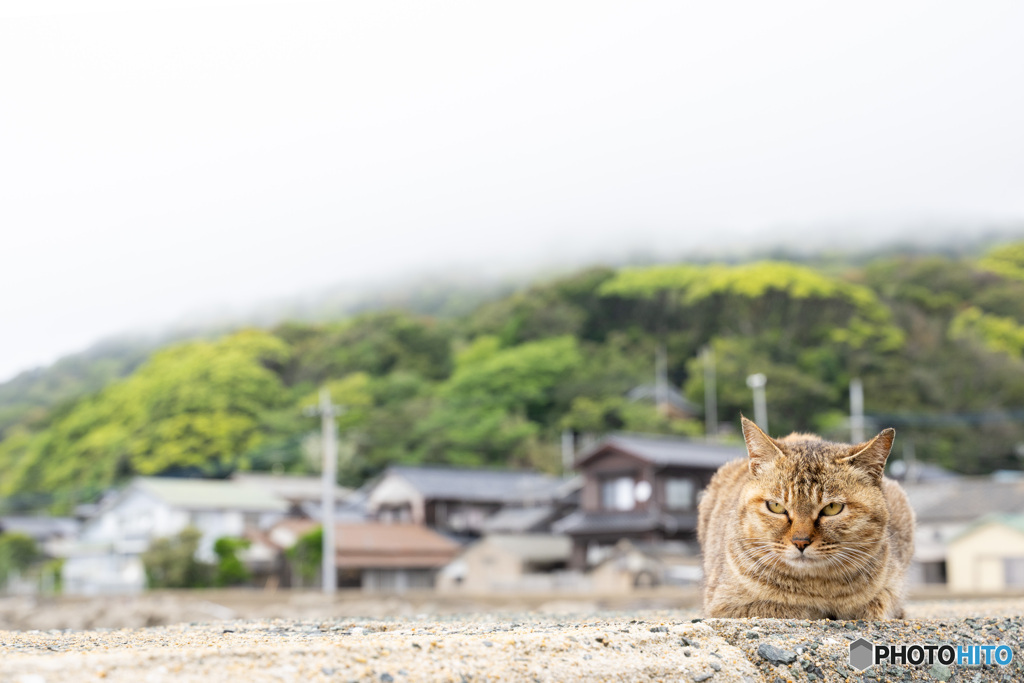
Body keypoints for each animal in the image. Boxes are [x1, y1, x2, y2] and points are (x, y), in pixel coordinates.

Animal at [700, 417, 917, 618]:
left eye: (832, 508)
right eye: (776, 506)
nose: (800, 542)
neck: (817, 587)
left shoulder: (892, 588)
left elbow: (875, 605)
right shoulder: (724, 604)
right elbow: (792, 608)